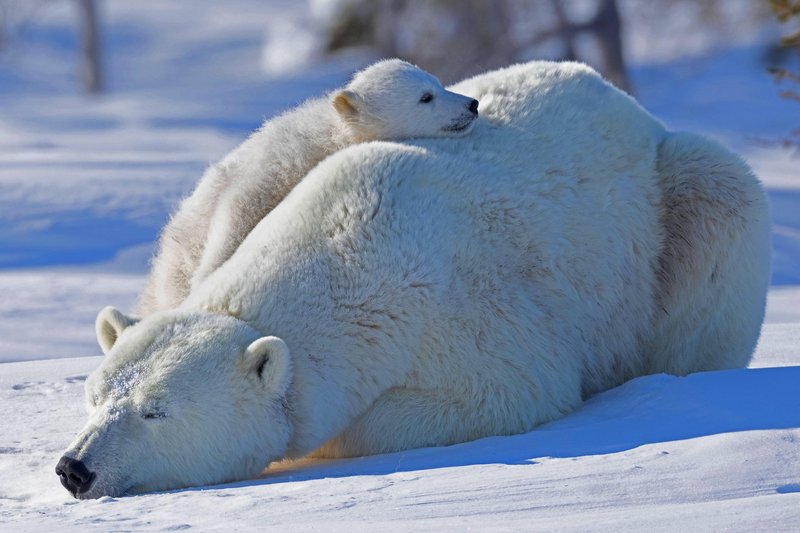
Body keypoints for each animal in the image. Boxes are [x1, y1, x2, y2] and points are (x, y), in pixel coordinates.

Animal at [136, 59, 482, 316]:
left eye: (438, 83)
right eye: (425, 97)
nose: (472, 104)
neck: (329, 137)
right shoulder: (278, 166)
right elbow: (238, 211)